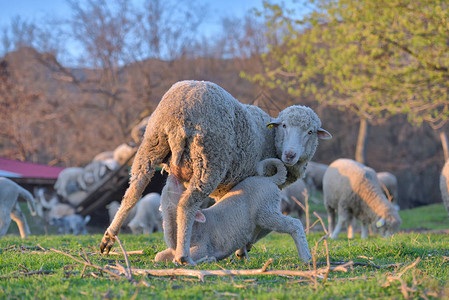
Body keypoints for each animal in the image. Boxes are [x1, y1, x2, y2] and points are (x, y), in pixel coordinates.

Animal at [155, 158, 312, 264]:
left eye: (184, 190)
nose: (172, 173)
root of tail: (269, 180)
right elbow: (159, 256)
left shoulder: (203, 246)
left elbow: (180, 259)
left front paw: (208, 260)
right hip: (264, 215)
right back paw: (243, 250)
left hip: (266, 211)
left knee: (295, 224)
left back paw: (306, 258)